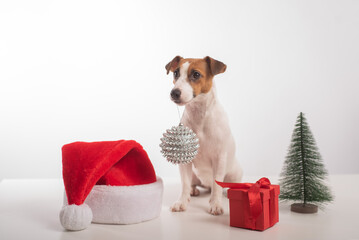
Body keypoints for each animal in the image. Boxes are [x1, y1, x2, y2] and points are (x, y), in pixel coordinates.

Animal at [165, 55, 243, 216]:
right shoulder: (185, 160)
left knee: (221, 185)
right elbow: (184, 183)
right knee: (192, 184)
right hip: (194, 175)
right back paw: (193, 191)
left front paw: (216, 204)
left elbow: (217, 184)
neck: (199, 116)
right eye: (176, 73)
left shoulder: (219, 158)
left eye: (196, 74)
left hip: (234, 173)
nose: (174, 92)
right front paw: (182, 202)